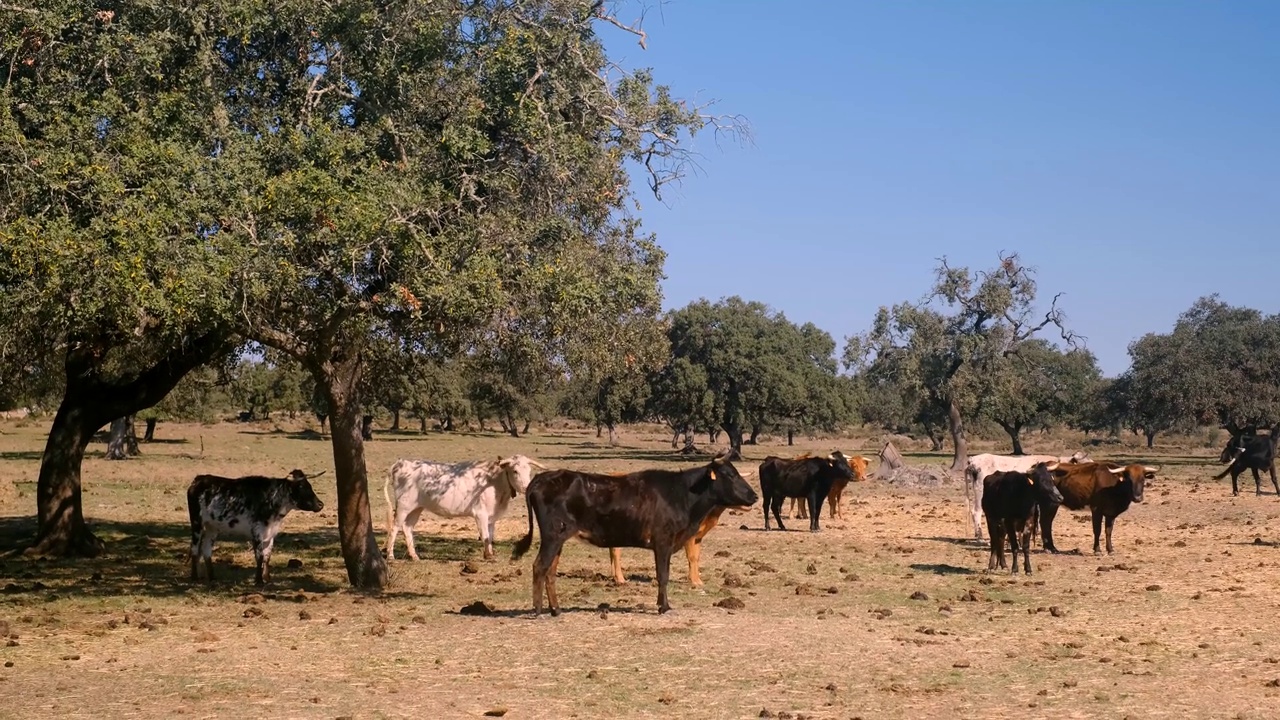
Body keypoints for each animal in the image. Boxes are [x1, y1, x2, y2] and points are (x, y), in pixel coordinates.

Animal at [186, 466, 325, 584]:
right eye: (301, 486)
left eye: (309, 485)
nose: (320, 504)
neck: (272, 499)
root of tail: (198, 479)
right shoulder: (257, 532)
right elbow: (259, 556)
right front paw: (259, 581)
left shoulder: (270, 534)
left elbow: (267, 557)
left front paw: (267, 579)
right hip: (197, 523)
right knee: (194, 549)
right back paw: (194, 578)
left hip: (212, 527)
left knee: (206, 550)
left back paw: (213, 578)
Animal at [376, 453, 542, 561]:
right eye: (515, 471)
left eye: (529, 470)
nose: (527, 487)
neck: (495, 483)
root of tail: (402, 463)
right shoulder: (480, 514)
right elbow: (485, 535)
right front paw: (488, 556)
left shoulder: (491, 516)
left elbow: (490, 535)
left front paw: (490, 554)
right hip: (403, 505)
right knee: (395, 527)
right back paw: (390, 556)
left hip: (416, 507)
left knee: (407, 527)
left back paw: (414, 556)